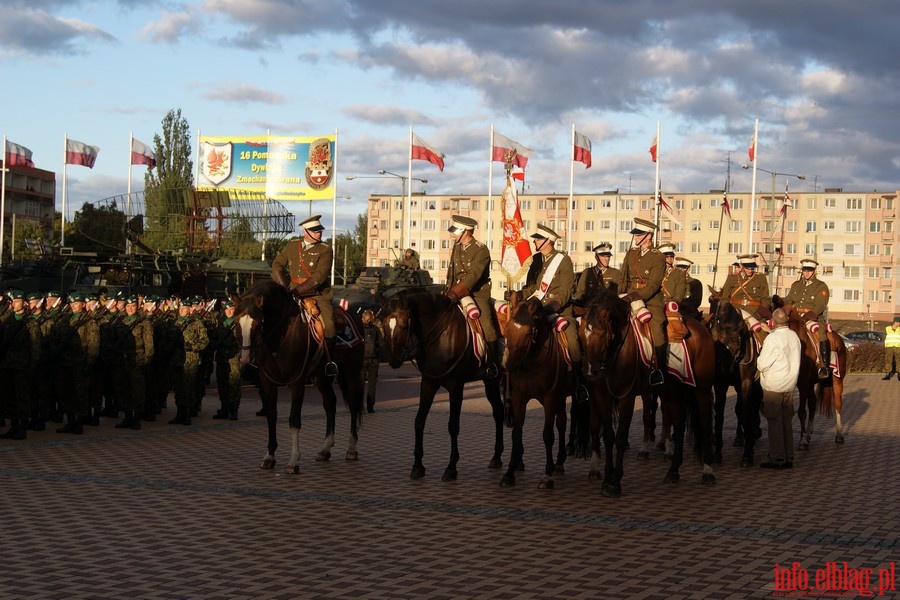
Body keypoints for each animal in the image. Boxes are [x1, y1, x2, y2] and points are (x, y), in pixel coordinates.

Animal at [241, 280, 368, 474]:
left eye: (258, 324)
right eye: (236, 323)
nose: (245, 359)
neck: (279, 339)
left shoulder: (297, 381)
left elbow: (294, 420)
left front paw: (294, 460)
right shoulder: (267, 380)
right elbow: (271, 415)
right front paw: (269, 456)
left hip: (351, 370)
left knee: (353, 404)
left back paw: (352, 448)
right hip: (323, 376)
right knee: (330, 403)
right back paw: (325, 448)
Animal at [382, 290, 506, 482]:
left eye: (403, 326)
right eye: (383, 326)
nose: (394, 360)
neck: (440, 336)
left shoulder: (456, 386)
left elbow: (453, 426)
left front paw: (451, 467)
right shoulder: (428, 383)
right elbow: (419, 421)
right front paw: (417, 466)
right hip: (490, 382)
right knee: (498, 413)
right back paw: (496, 457)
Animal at [500, 294, 568, 488]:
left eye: (528, 333)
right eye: (507, 329)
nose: (510, 365)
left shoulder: (550, 398)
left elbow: (547, 435)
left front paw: (547, 475)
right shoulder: (518, 398)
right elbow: (516, 433)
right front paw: (509, 473)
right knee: (562, 422)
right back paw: (559, 462)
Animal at [576, 288, 716, 496]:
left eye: (601, 334)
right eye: (580, 335)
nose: (590, 372)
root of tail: (701, 328)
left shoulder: (626, 397)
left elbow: (620, 437)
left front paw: (615, 482)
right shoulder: (602, 395)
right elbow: (608, 436)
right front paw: (607, 478)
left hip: (702, 389)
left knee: (705, 424)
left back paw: (708, 471)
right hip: (671, 390)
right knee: (678, 423)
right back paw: (673, 470)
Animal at [708, 302, 764, 466]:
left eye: (736, 346)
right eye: (718, 346)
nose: (726, 371)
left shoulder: (746, 382)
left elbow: (746, 412)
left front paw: (747, 454)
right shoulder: (720, 384)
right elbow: (719, 415)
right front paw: (717, 453)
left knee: (750, 409)